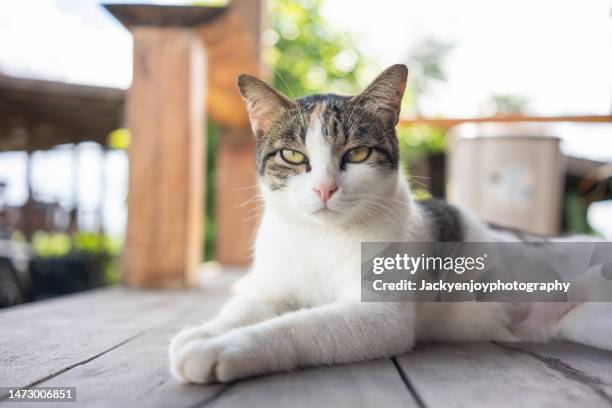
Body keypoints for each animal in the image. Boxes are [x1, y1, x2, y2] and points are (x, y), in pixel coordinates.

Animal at [169, 64, 612, 386]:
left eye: (357, 153)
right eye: (293, 156)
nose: (325, 188)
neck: (320, 238)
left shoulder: (379, 316)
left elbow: (294, 327)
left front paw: (220, 349)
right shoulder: (273, 287)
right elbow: (246, 307)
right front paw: (205, 332)